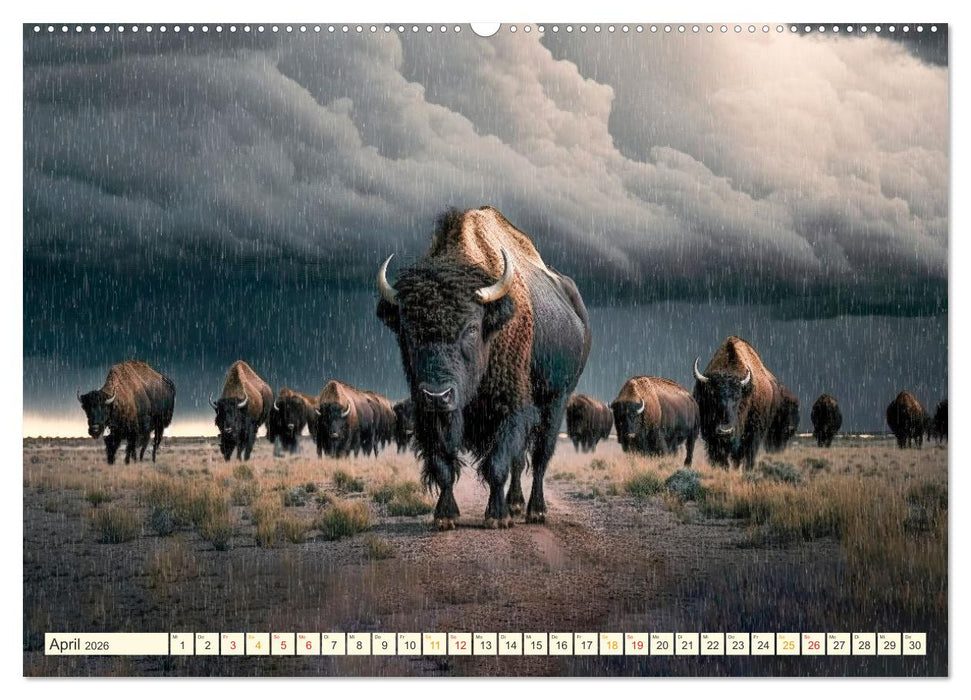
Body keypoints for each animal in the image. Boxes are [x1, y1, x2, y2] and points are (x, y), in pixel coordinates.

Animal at [377, 206, 591, 529]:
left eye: (472, 328)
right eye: (407, 330)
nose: (438, 395)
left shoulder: (510, 408)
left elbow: (497, 464)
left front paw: (496, 517)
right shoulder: (428, 415)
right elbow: (443, 464)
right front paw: (445, 516)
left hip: (557, 398)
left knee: (541, 455)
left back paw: (535, 511)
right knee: (521, 459)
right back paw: (516, 504)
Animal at [693, 336, 780, 470]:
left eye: (738, 397)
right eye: (712, 396)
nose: (725, 431)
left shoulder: (751, 435)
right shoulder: (711, 438)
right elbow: (719, 458)